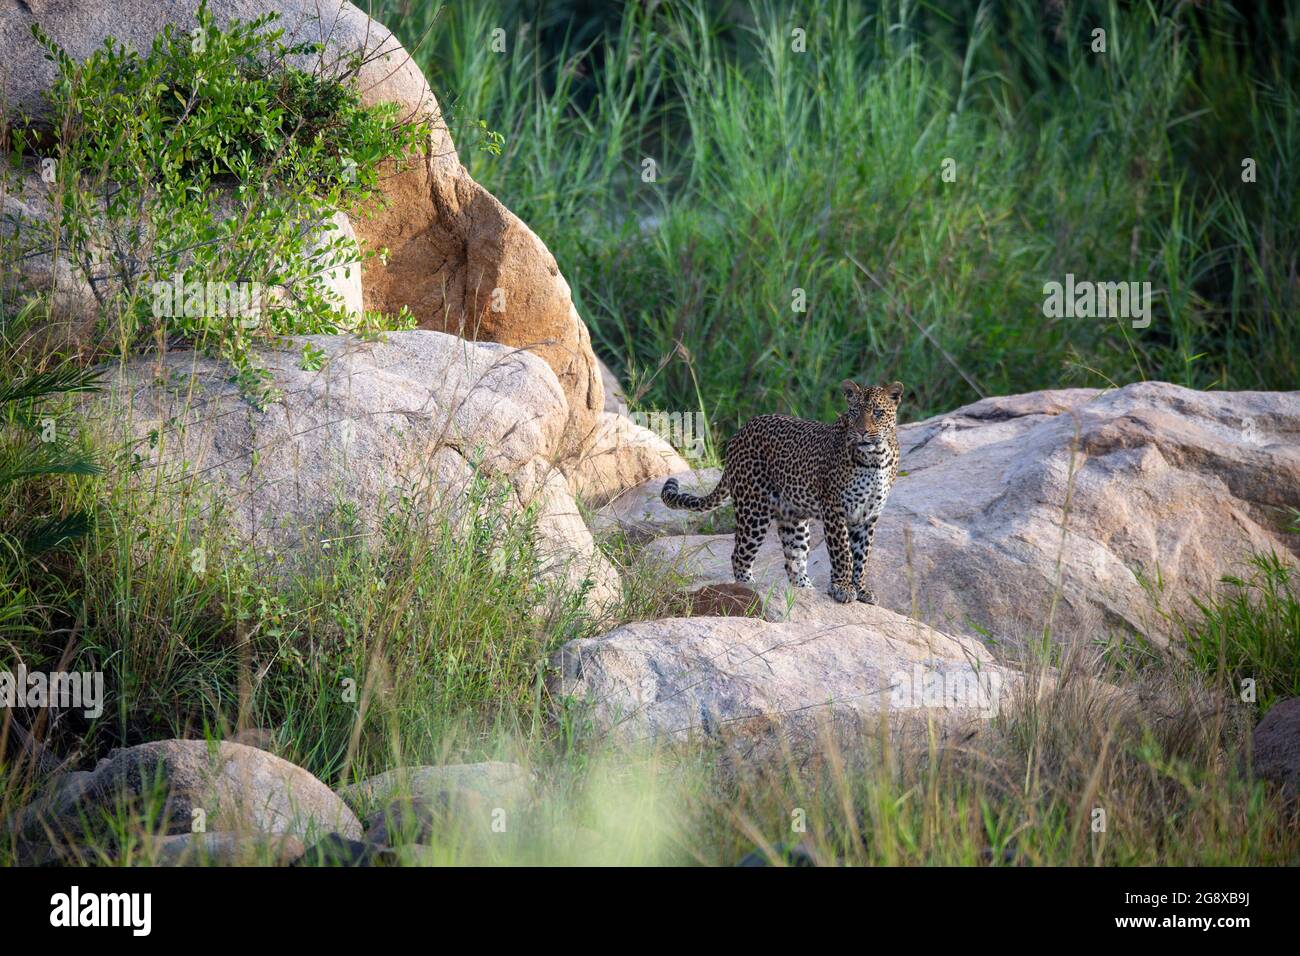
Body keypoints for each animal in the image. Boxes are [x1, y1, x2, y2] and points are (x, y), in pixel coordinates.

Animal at [660, 382, 904, 606]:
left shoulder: (868, 515)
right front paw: (843, 588)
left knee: (792, 562)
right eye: (854, 412)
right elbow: (843, 553)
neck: (875, 458)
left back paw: (805, 590)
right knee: (739, 556)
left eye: (877, 412)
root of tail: (740, 431)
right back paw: (749, 589)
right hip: (754, 511)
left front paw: (861, 589)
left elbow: (863, 555)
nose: (862, 432)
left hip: (793, 520)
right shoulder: (834, 509)